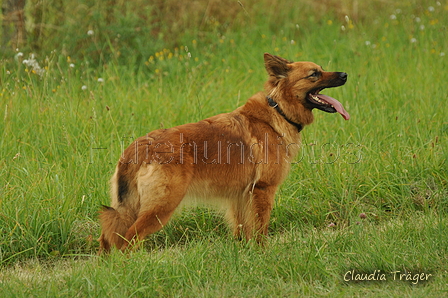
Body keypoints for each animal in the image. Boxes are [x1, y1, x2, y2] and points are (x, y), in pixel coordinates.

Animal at [98, 53, 350, 251]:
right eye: (314, 74)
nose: (345, 74)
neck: (278, 110)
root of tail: (140, 146)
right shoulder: (263, 190)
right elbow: (260, 229)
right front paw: (263, 253)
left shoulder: (241, 196)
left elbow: (243, 231)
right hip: (161, 208)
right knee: (128, 240)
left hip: (132, 209)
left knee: (108, 238)